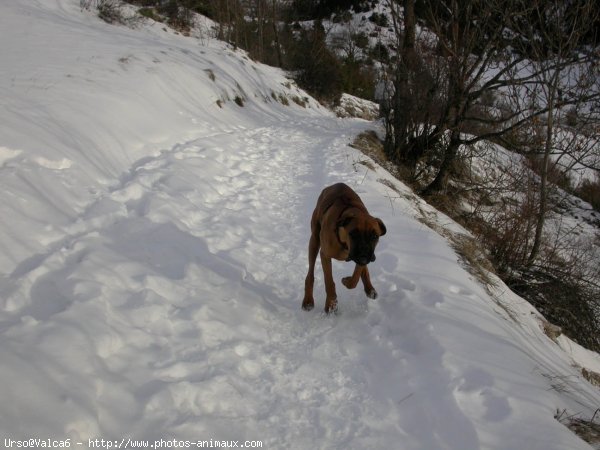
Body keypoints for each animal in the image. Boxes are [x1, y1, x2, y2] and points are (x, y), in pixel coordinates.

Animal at [302, 183, 386, 312]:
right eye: (354, 234)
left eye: (375, 236)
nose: (365, 252)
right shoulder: (325, 255)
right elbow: (329, 281)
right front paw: (331, 305)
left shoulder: (361, 259)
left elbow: (355, 278)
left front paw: (347, 281)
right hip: (314, 241)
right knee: (310, 274)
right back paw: (308, 300)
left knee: (364, 270)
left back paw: (369, 288)